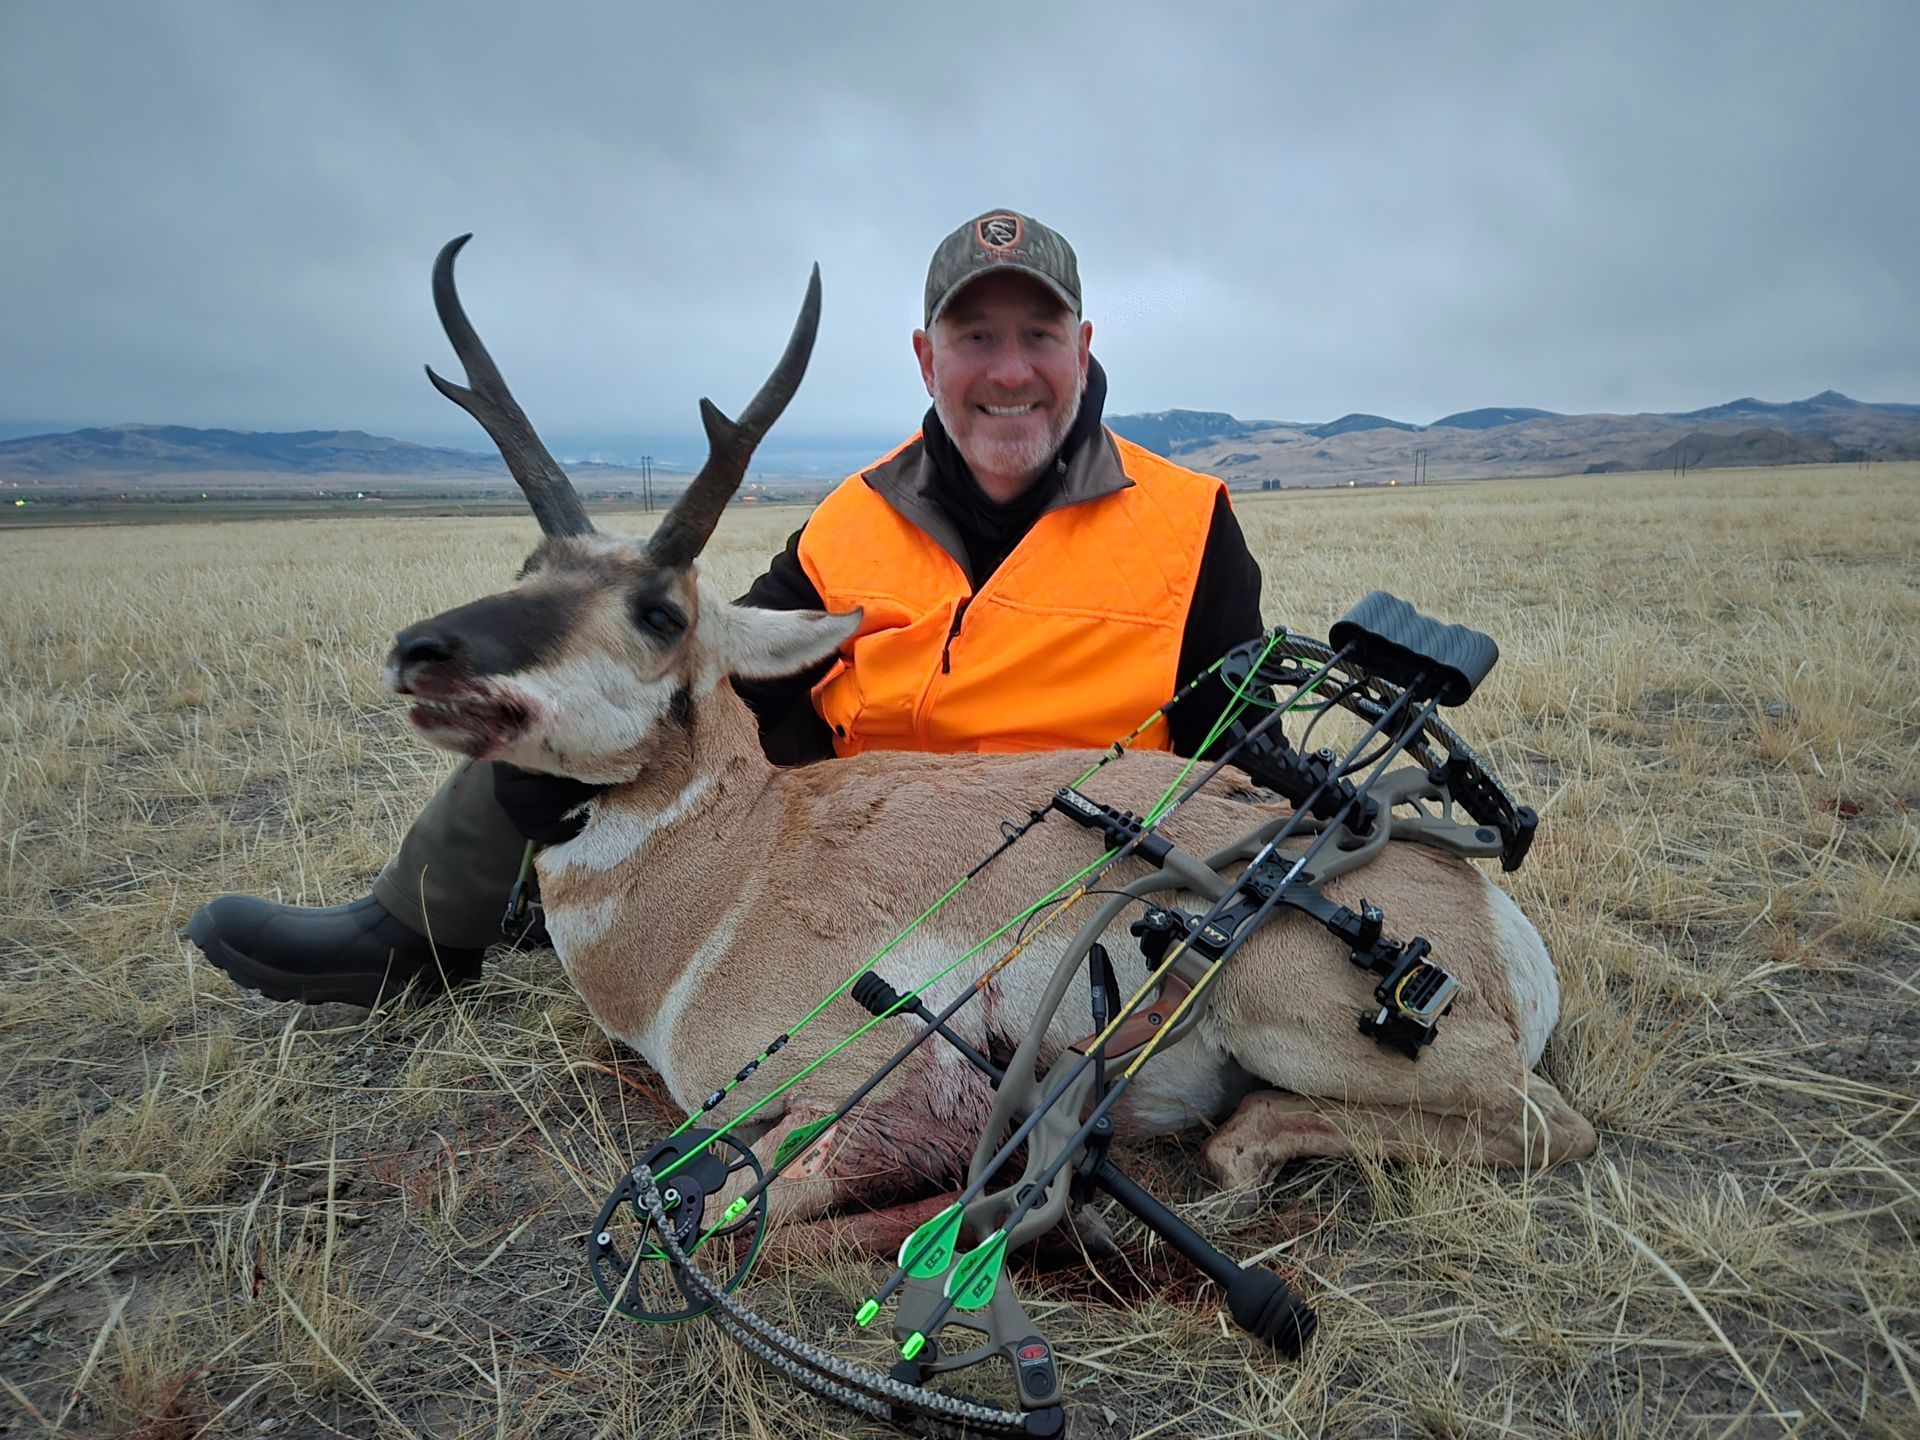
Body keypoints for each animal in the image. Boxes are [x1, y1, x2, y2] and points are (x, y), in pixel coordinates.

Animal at [389, 237, 1596, 1242]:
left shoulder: (853, 1068)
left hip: (1287, 1007)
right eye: (531, 569)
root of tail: (1485, 915)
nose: (420, 650)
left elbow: (755, 1201)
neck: (740, 858)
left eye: (658, 612)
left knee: (1540, 1123)